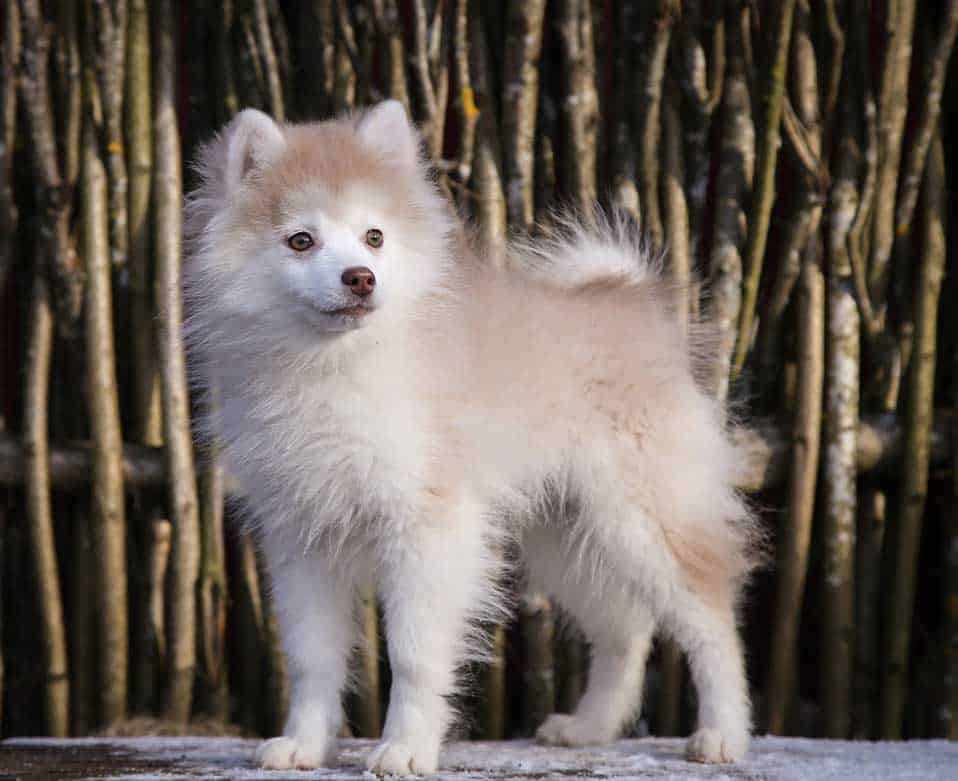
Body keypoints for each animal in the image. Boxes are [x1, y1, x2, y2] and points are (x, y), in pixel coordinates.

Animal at [186, 99, 756, 772]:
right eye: (301, 240)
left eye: (374, 237)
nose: (360, 277)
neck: (334, 366)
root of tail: (635, 304)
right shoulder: (303, 537)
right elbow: (311, 659)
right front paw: (303, 743)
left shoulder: (426, 527)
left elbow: (413, 655)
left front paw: (405, 748)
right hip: (567, 537)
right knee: (625, 630)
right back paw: (589, 726)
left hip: (646, 520)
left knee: (711, 622)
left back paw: (724, 733)